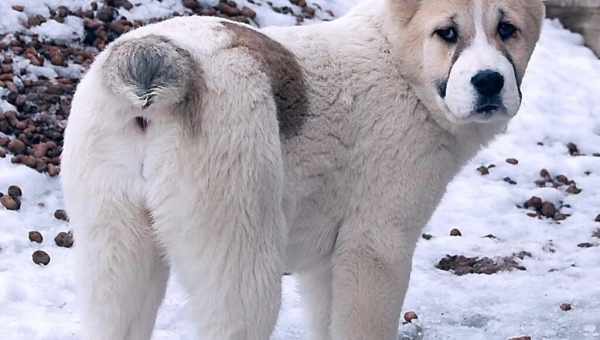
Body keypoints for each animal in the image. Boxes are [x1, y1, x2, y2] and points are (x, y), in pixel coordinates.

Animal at [61, 1, 544, 338]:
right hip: (239, 254)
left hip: (114, 246)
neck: (397, 65)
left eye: (507, 29)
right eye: (446, 33)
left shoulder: (324, 264)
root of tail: (162, 61)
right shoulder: (374, 247)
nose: (489, 81)